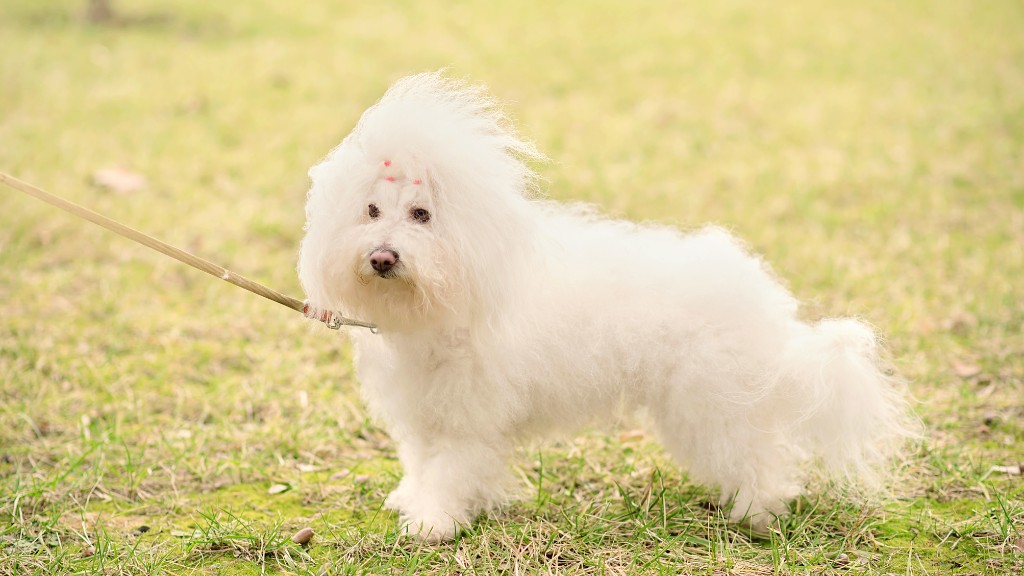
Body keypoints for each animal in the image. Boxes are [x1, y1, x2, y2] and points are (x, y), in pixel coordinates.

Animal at [296, 71, 913, 541]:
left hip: (714, 401)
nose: (382, 256)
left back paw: (755, 513)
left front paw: (432, 523)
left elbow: (449, 471)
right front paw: (412, 500)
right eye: (372, 210)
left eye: (421, 215)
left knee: (762, 458)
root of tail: (766, 304)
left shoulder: (468, 419)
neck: (449, 298)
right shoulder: (423, 410)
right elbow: (421, 462)